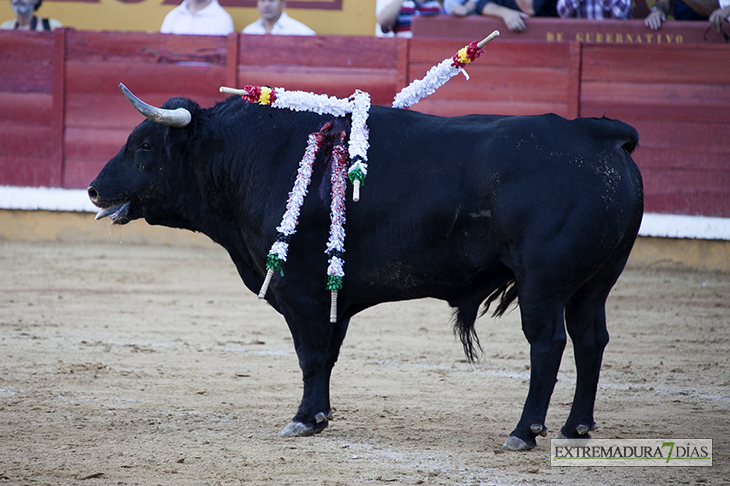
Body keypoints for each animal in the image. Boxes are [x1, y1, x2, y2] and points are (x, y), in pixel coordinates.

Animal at [88, 89, 640, 450]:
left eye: (144, 146)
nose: (94, 189)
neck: (251, 156)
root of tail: (599, 134)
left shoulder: (303, 292)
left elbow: (310, 354)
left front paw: (303, 419)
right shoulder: (333, 299)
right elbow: (328, 356)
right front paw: (321, 415)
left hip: (542, 284)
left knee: (548, 344)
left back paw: (524, 432)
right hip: (595, 283)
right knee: (591, 339)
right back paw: (576, 426)